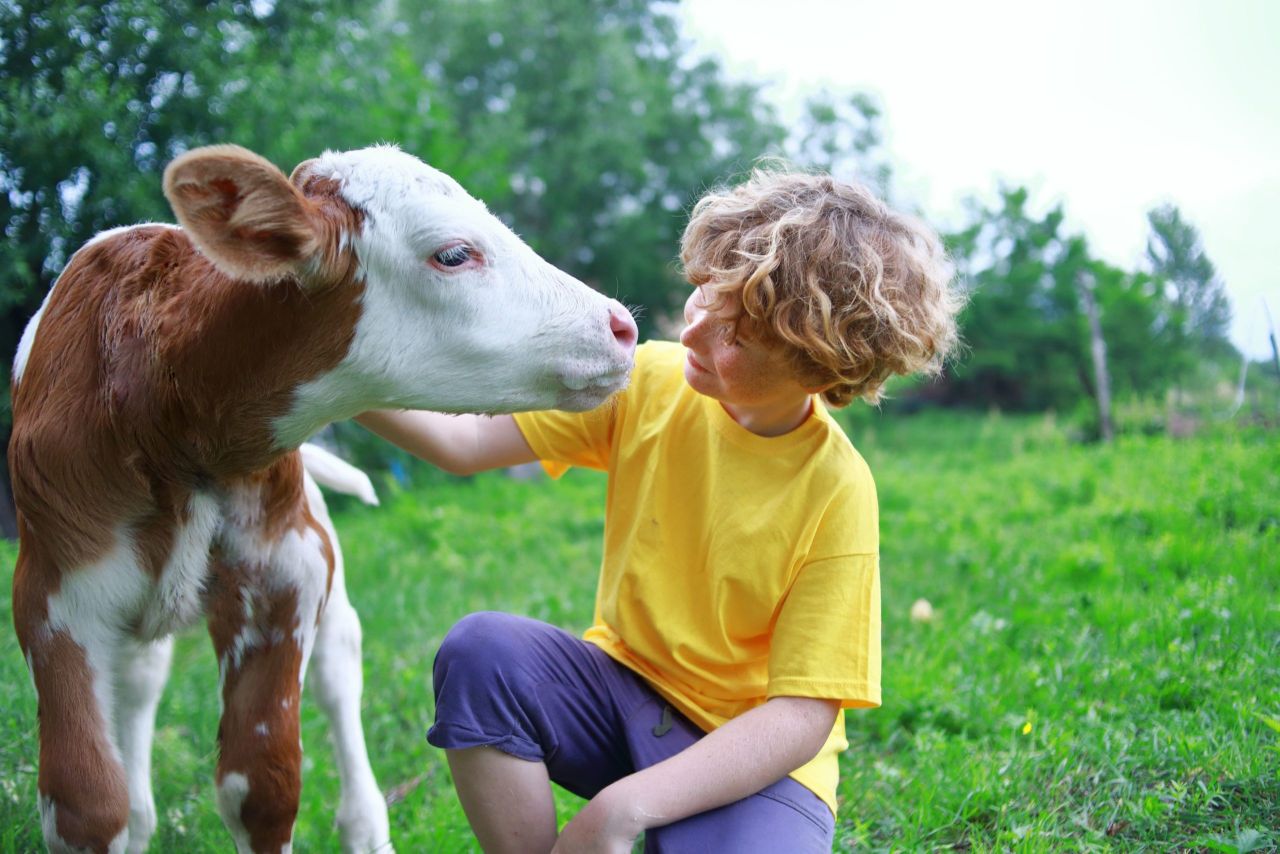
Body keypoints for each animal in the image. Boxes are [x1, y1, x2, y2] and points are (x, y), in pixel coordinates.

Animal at [5, 143, 634, 850]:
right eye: (452, 254)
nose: (620, 325)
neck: (169, 408)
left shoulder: (287, 570)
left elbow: (262, 784)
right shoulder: (55, 596)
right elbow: (87, 803)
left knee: (337, 674)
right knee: (140, 686)